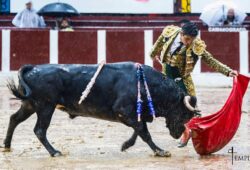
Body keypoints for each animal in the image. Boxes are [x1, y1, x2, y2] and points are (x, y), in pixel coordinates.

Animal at [2, 61, 197, 157]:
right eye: (183, 113)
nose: (179, 134)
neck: (145, 82)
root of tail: (33, 68)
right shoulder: (123, 111)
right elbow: (144, 132)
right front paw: (160, 151)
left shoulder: (133, 114)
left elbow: (139, 130)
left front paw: (125, 145)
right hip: (45, 106)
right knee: (40, 130)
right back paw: (54, 152)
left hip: (30, 104)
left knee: (14, 119)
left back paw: (7, 145)